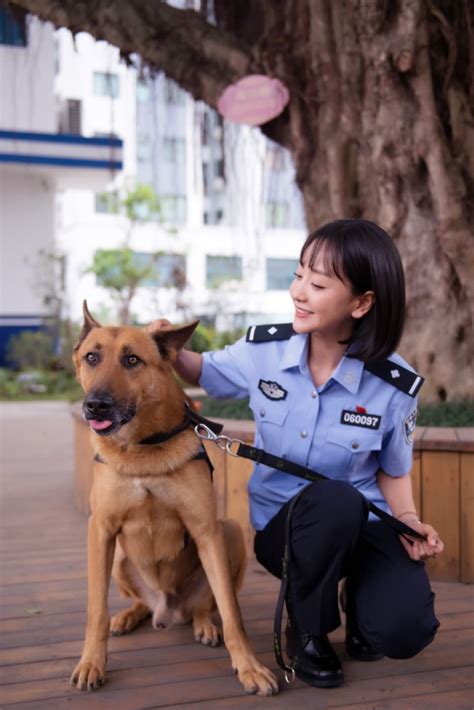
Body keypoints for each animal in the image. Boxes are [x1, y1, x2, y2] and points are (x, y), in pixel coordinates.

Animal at [69, 304, 278, 700]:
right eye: (91, 357)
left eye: (132, 360)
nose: (95, 406)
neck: (142, 449)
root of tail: (167, 609)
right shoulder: (100, 529)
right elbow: (94, 611)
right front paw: (91, 663)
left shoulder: (205, 529)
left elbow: (232, 614)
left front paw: (250, 667)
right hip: (117, 558)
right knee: (138, 602)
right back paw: (128, 616)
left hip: (228, 534)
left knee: (207, 604)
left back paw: (203, 625)